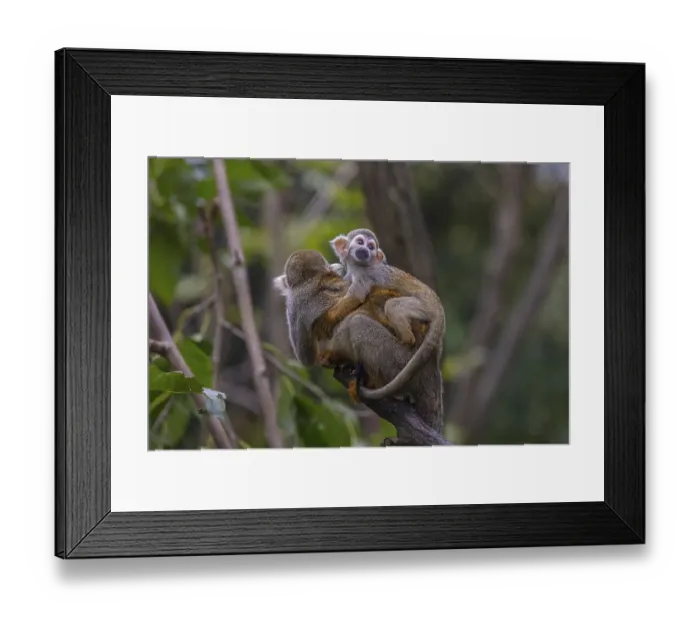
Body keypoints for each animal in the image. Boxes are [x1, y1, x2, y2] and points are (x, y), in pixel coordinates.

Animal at [318, 228, 446, 406]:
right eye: (360, 242)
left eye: (371, 246)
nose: (365, 250)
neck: (359, 266)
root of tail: (439, 308)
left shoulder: (365, 275)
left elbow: (356, 296)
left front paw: (327, 319)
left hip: (424, 307)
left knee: (392, 306)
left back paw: (406, 339)